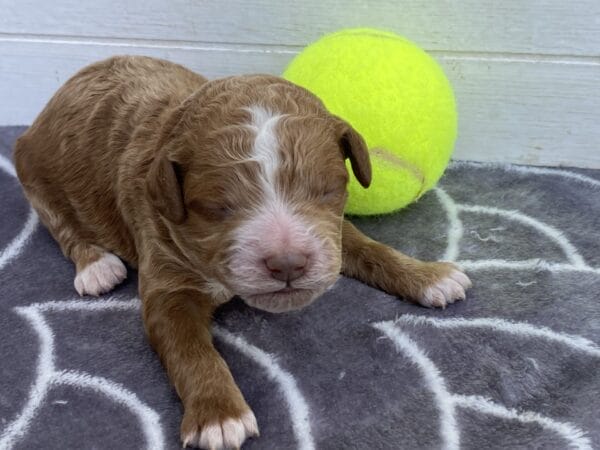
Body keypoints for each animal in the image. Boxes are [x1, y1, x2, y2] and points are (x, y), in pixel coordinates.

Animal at [15, 56, 468, 450]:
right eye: (218, 209)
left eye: (327, 190)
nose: (287, 263)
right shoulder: (167, 283)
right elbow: (190, 349)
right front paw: (218, 416)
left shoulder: (330, 232)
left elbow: (368, 246)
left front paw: (428, 276)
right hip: (34, 175)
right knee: (61, 224)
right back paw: (95, 266)